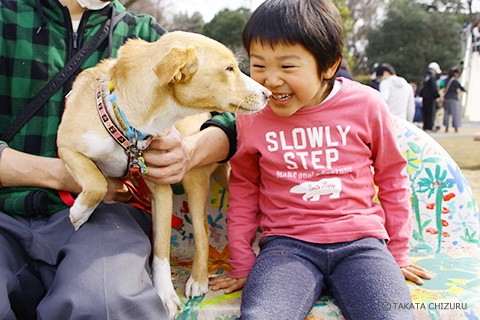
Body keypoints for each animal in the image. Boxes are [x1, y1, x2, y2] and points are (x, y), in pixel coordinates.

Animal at [57, 31, 270, 318]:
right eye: (229, 69)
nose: (269, 93)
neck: (129, 123)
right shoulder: (65, 147)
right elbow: (96, 180)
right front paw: (81, 212)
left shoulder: (162, 188)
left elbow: (160, 249)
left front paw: (166, 294)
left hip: (193, 175)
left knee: (203, 230)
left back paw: (198, 279)